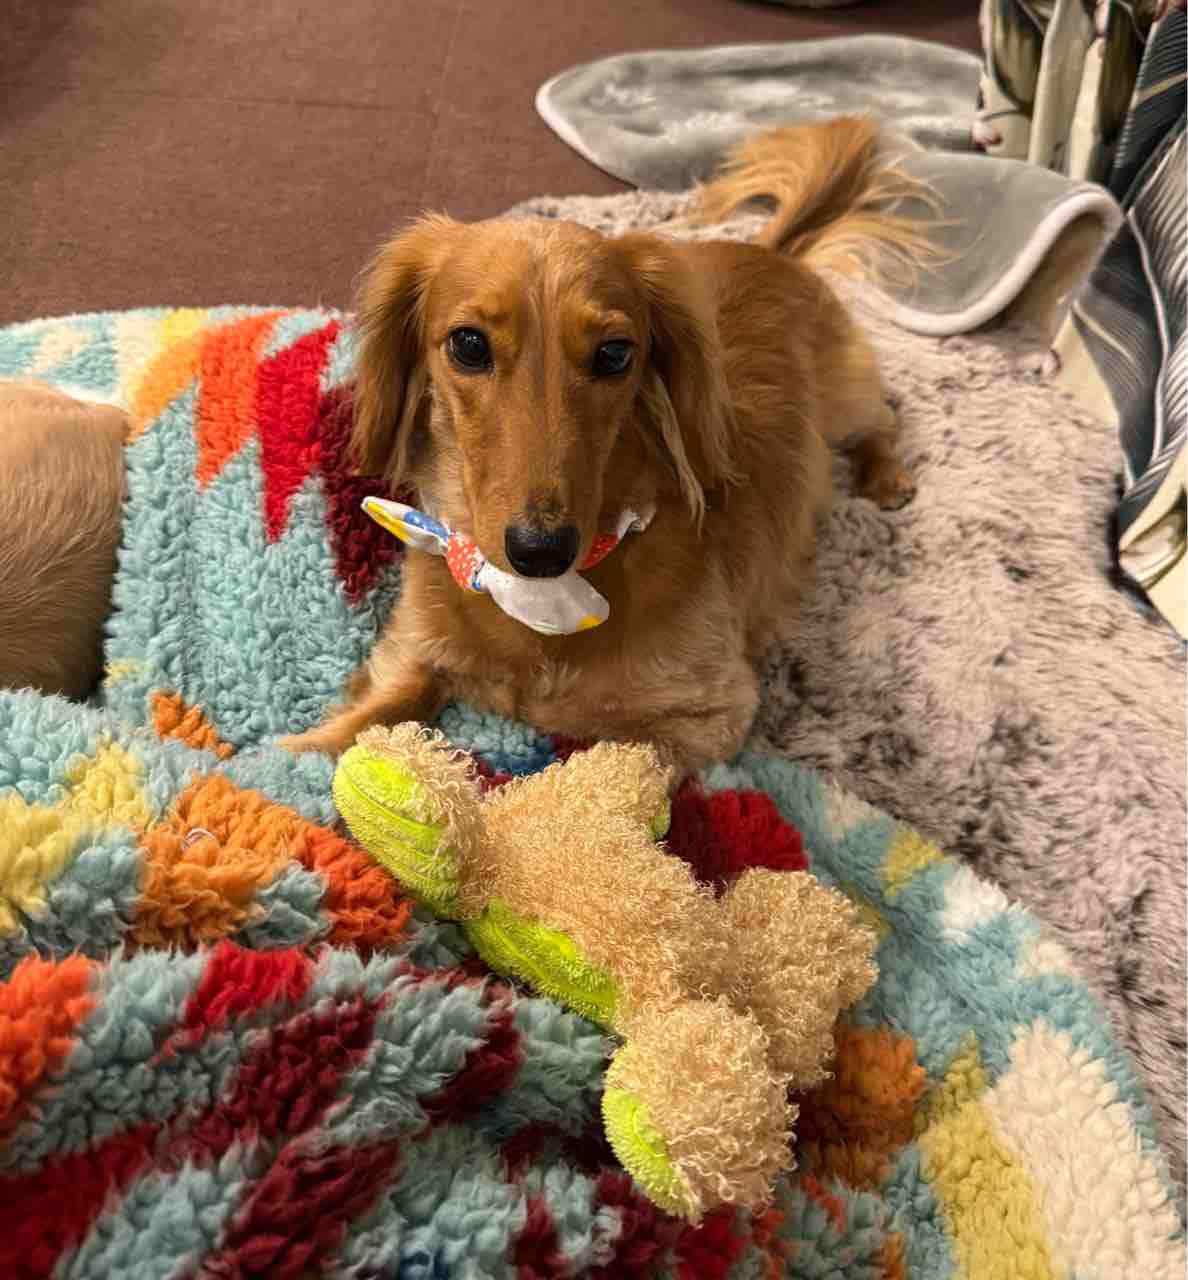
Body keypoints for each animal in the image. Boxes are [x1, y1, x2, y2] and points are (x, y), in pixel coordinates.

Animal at [278, 116, 926, 775]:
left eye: (615, 353)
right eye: (468, 344)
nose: (540, 550)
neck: (538, 603)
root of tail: (772, 252)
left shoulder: (711, 715)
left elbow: (625, 762)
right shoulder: (412, 650)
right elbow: (367, 719)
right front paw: (291, 755)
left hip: (846, 398)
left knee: (883, 416)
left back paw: (887, 477)